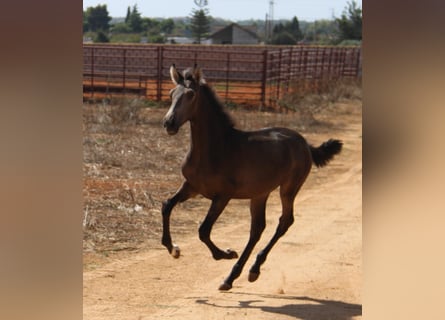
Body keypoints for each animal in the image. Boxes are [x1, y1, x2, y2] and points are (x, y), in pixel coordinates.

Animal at [161, 63, 342, 292]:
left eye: (191, 95)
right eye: (171, 93)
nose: (169, 123)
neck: (216, 148)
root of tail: (304, 142)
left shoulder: (222, 196)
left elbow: (203, 230)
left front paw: (226, 253)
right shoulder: (191, 186)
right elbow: (167, 205)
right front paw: (173, 248)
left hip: (289, 188)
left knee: (284, 221)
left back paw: (250, 270)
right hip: (259, 194)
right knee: (257, 229)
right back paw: (234, 276)